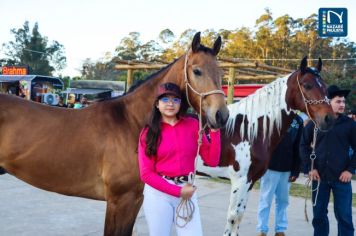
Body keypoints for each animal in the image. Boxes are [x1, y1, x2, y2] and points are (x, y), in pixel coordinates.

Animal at [0, 31, 228, 236]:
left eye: (221, 74)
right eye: (197, 71)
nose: (221, 115)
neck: (129, 121)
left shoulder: (134, 200)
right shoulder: (121, 200)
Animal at [196, 57, 336, 236]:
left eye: (325, 86)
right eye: (307, 85)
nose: (329, 119)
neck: (248, 129)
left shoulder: (250, 181)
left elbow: (239, 217)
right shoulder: (239, 181)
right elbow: (233, 217)